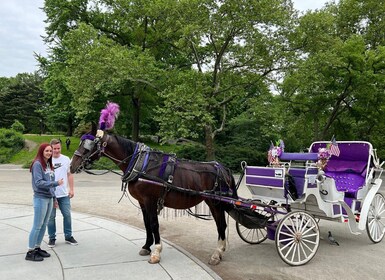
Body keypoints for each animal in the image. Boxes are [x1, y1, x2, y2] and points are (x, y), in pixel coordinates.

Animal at [69, 126, 237, 266]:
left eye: (87, 146)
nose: (72, 166)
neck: (140, 165)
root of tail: (223, 168)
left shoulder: (150, 200)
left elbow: (154, 224)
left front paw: (156, 252)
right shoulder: (142, 202)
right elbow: (146, 223)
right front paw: (146, 246)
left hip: (214, 203)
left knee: (221, 225)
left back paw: (217, 253)